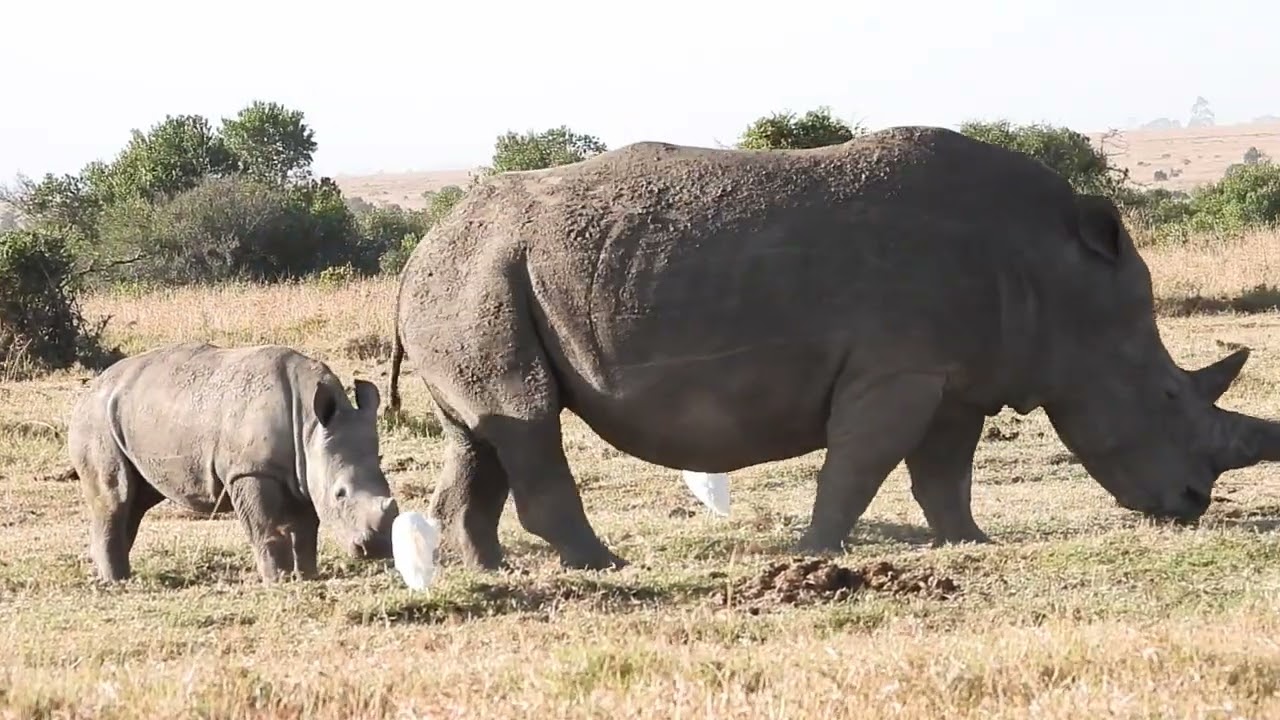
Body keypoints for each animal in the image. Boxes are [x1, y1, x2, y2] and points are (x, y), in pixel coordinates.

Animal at [68, 342, 400, 583]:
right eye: (340, 494)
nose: (379, 547)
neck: (309, 425)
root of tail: (91, 388)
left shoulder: (305, 472)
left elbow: (307, 530)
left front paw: (307, 576)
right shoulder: (250, 470)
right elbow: (264, 526)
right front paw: (278, 580)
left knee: (137, 501)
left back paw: (115, 576)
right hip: (95, 418)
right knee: (117, 496)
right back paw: (117, 583)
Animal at [386, 125, 1280, 572]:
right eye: (1167, 396)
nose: (1194, 505)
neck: (1058, 275)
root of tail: (417, 253)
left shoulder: (955, 376)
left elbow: (944, 472)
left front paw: (971, 545)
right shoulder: (899, 369)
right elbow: (860, 464)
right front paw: (816, 552)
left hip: (475, 279)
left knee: (485, 429)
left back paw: (492, 571)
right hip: (480, 274)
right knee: (526, 418)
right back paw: (602, 566)